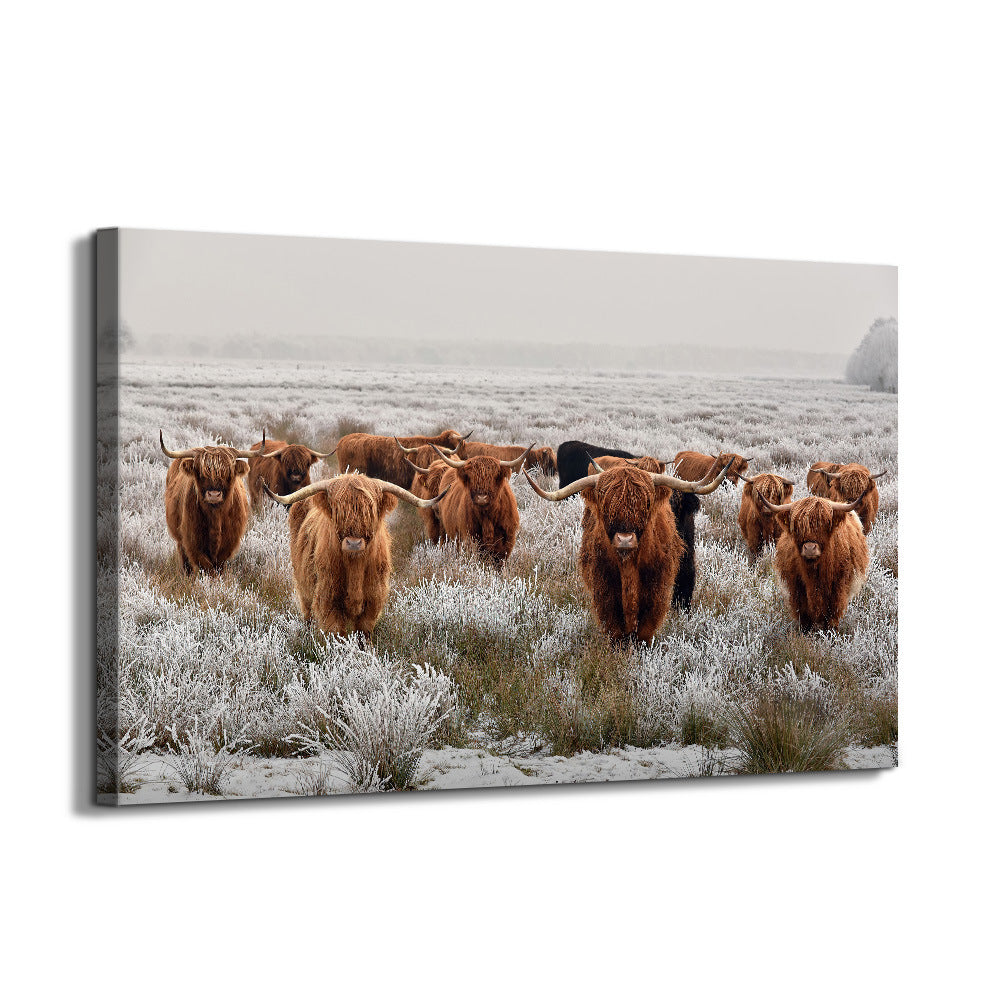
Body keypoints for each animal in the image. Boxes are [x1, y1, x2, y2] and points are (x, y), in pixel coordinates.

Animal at [160, 431, 261, 574]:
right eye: (201, 473)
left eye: (228, 473)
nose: (214, 495)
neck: (215, 516)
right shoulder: (193, 542)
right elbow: (206, 566)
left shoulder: (229, 544)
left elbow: (218, 566)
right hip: (180, 540)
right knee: (186, 563)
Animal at [263, 472, 448, 638]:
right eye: (337, 510)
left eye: (370, 510)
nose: (353, 543)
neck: (355, 567)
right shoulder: (328, 598)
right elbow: (336, 633)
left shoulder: (373, 599)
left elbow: (363, 633)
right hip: (304, 588)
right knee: (307, 613)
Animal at [757, 489, 872, 631]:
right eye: (797, 526)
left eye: (825, 524)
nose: (810, 548)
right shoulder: (796, 586)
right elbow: (804, 614)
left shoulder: (839, 587)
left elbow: (833, 613)